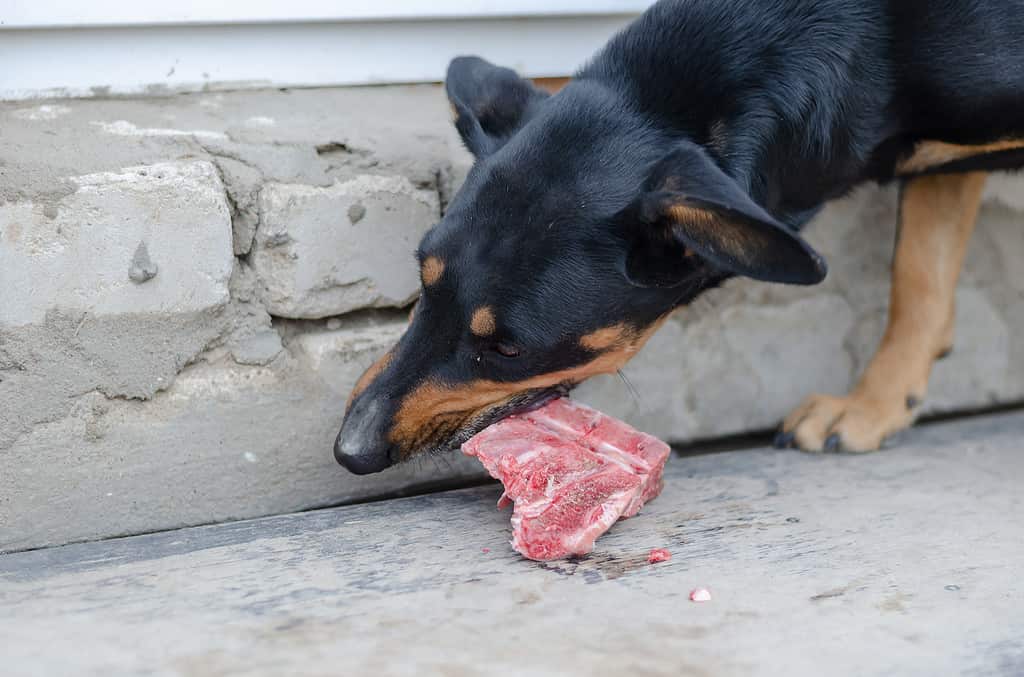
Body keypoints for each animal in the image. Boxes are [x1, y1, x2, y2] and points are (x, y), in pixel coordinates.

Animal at [331, 0, 1019, 473]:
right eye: (424, 284)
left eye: (508, 350)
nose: (348, 451)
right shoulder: (937, 159)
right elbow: (919, 274)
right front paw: (877, 406)